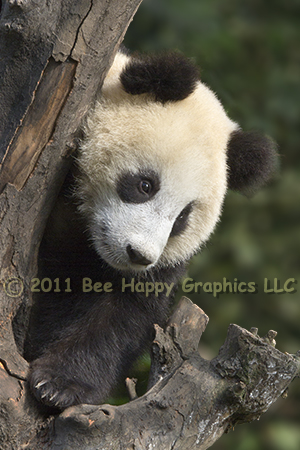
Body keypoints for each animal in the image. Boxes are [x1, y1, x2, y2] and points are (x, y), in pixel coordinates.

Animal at [25, 50, 276, 412]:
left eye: (182, 218)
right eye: (146, 185)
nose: (138, 255)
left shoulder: (159, 267)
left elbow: (124, 314)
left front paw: (59, 384)